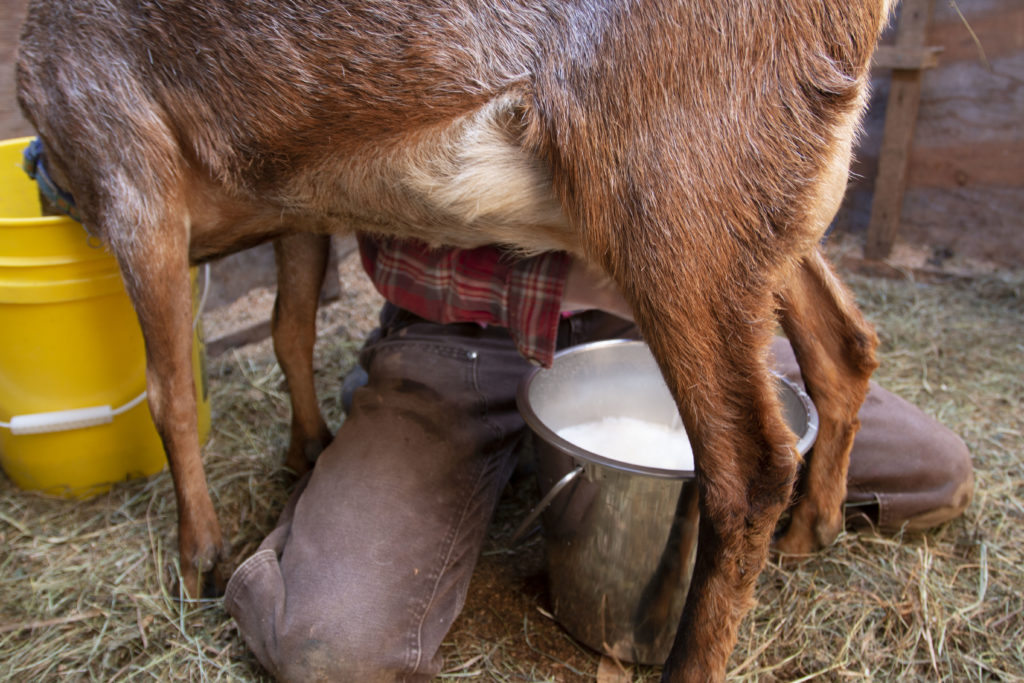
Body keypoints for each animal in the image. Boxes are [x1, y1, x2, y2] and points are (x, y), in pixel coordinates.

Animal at [19, 2, 892, 679]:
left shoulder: (127, 163)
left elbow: (168, 391)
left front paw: (197, 556)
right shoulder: (291, 193)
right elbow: (290, 325)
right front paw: (306, 448)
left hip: (674, 185)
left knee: (749, 466)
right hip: (762, 201)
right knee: (844, 344)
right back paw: (815, 529)